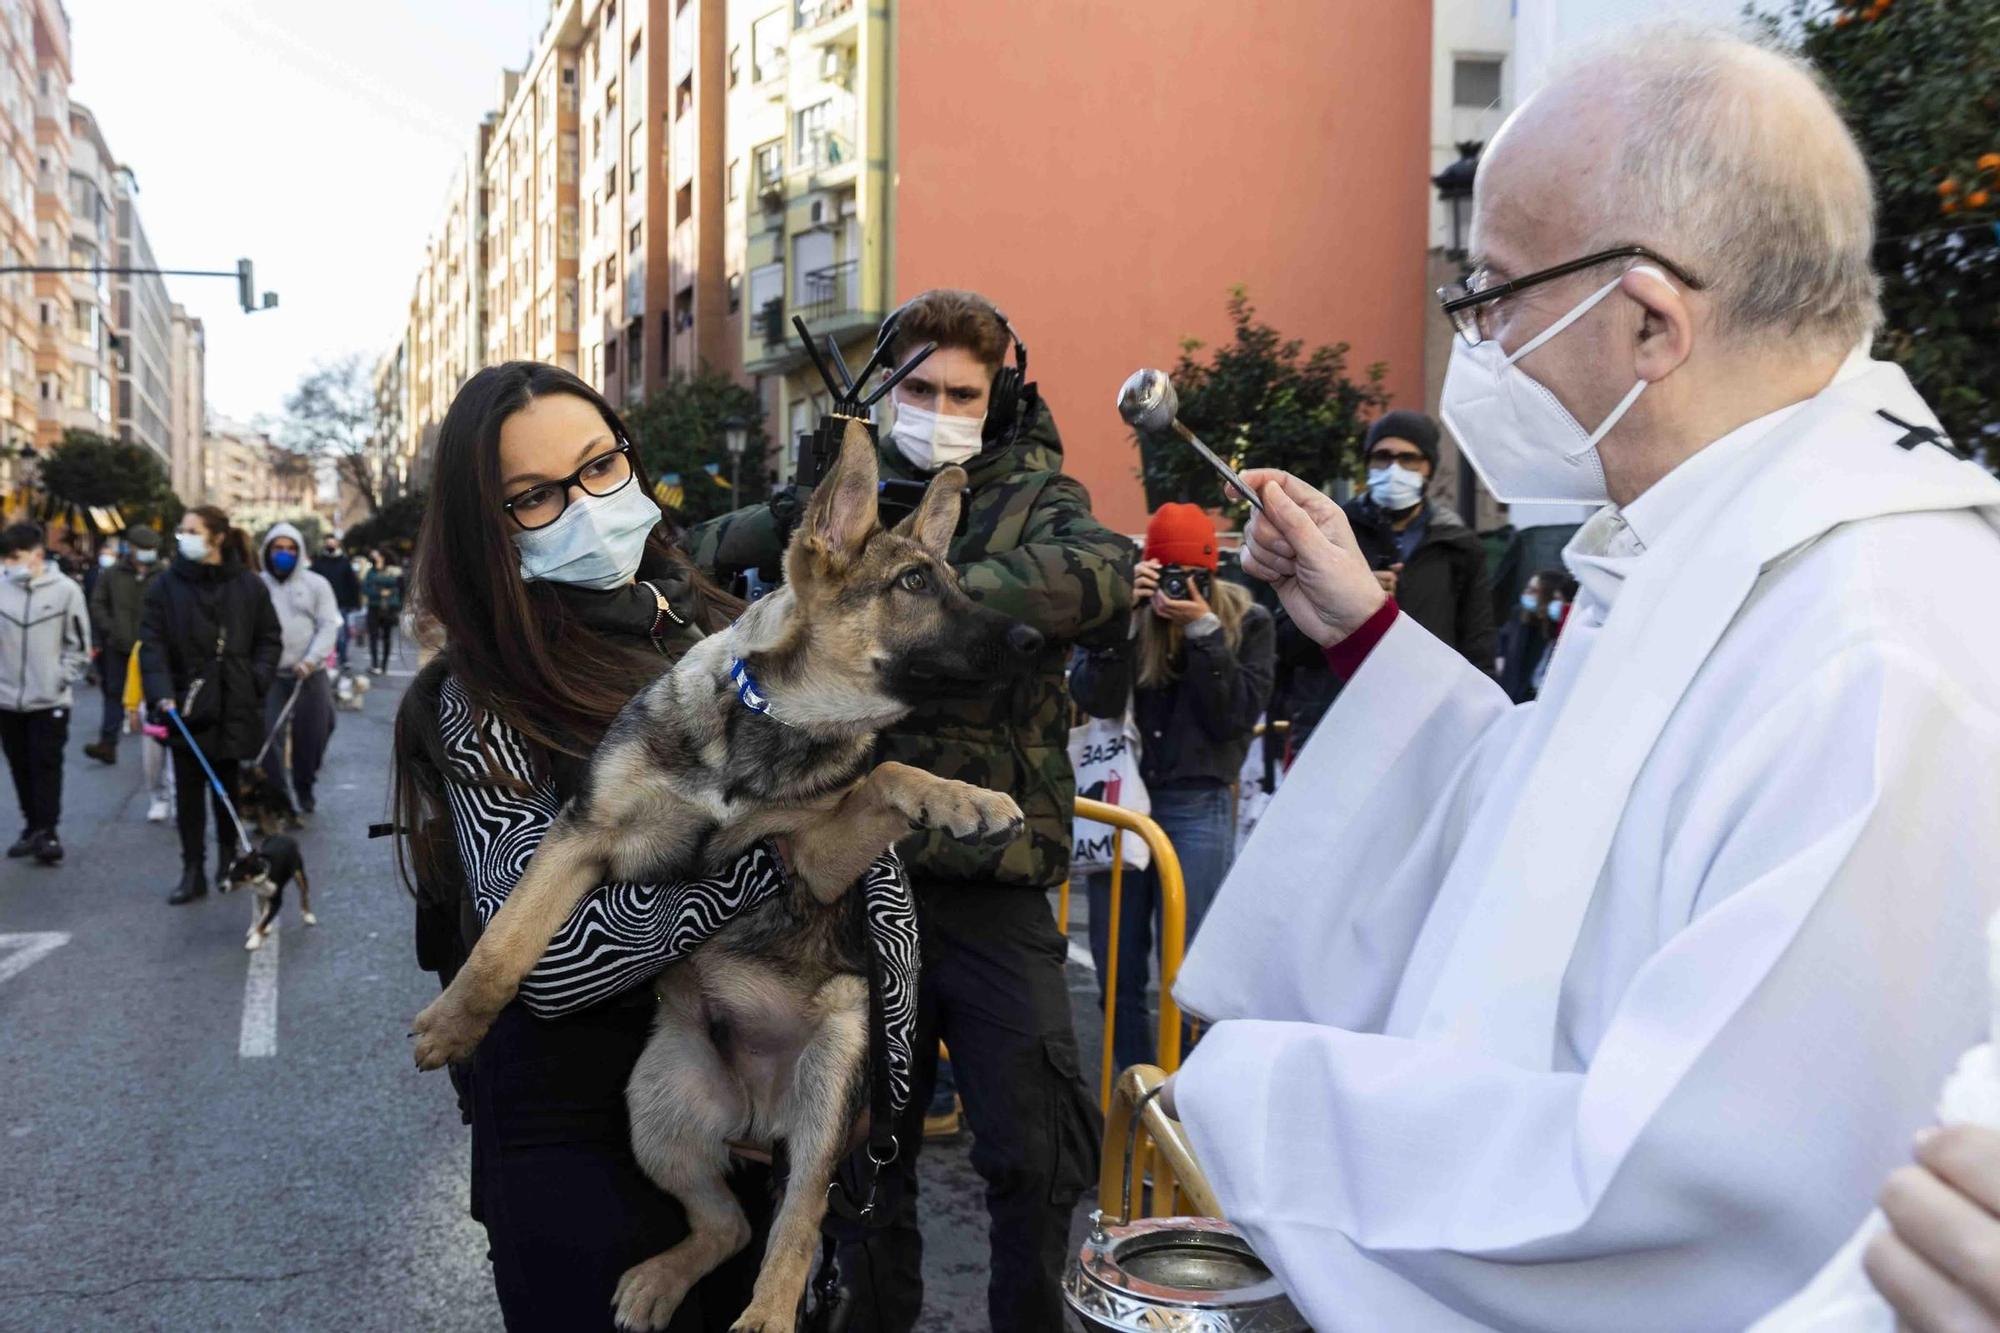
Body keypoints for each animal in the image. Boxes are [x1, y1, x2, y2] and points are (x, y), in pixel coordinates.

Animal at [404, 426, 1032, 1328]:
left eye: (956, 583)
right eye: (913, 584)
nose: (1036, 642)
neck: (769, 726)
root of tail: (758, 1116)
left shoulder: (814, 859)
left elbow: (887, 772)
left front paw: (964, 798)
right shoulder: (581, 837)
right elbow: (509, 938)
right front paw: (456, 1022)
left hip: (836, 1069)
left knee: (792, 1227)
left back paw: (765, 1310)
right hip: (654, 1105)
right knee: (728, 1223)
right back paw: (661, 1278)